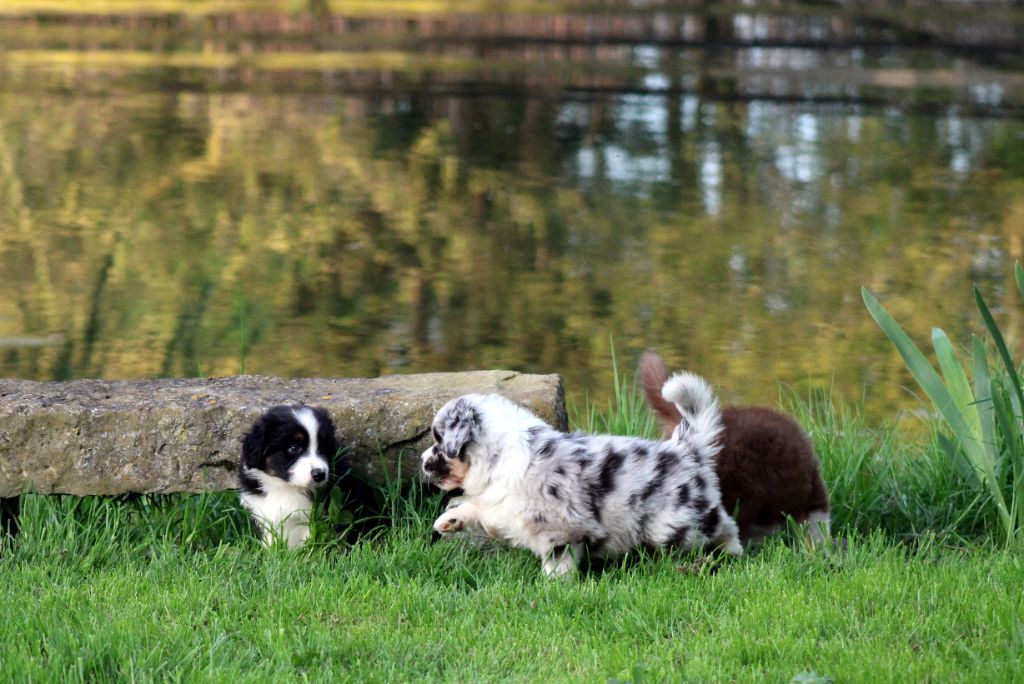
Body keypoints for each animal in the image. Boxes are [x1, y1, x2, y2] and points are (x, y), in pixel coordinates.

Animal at [236, 405, 333, 544]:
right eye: (293, 448)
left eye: (324, 447)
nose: (320, 474)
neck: (284, 487)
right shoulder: (263, 514)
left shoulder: (311, 516)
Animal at [419, 374, 741, 577]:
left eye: (438, 440)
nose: (422, 461)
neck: (498, 456)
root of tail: (685, 448)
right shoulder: (498, 502)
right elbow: (476, 505)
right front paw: (448, 520)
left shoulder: (560, 529)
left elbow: (558, 561)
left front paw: (553, 587)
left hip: (675, 524)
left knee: (724, 525)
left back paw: (732, 553)